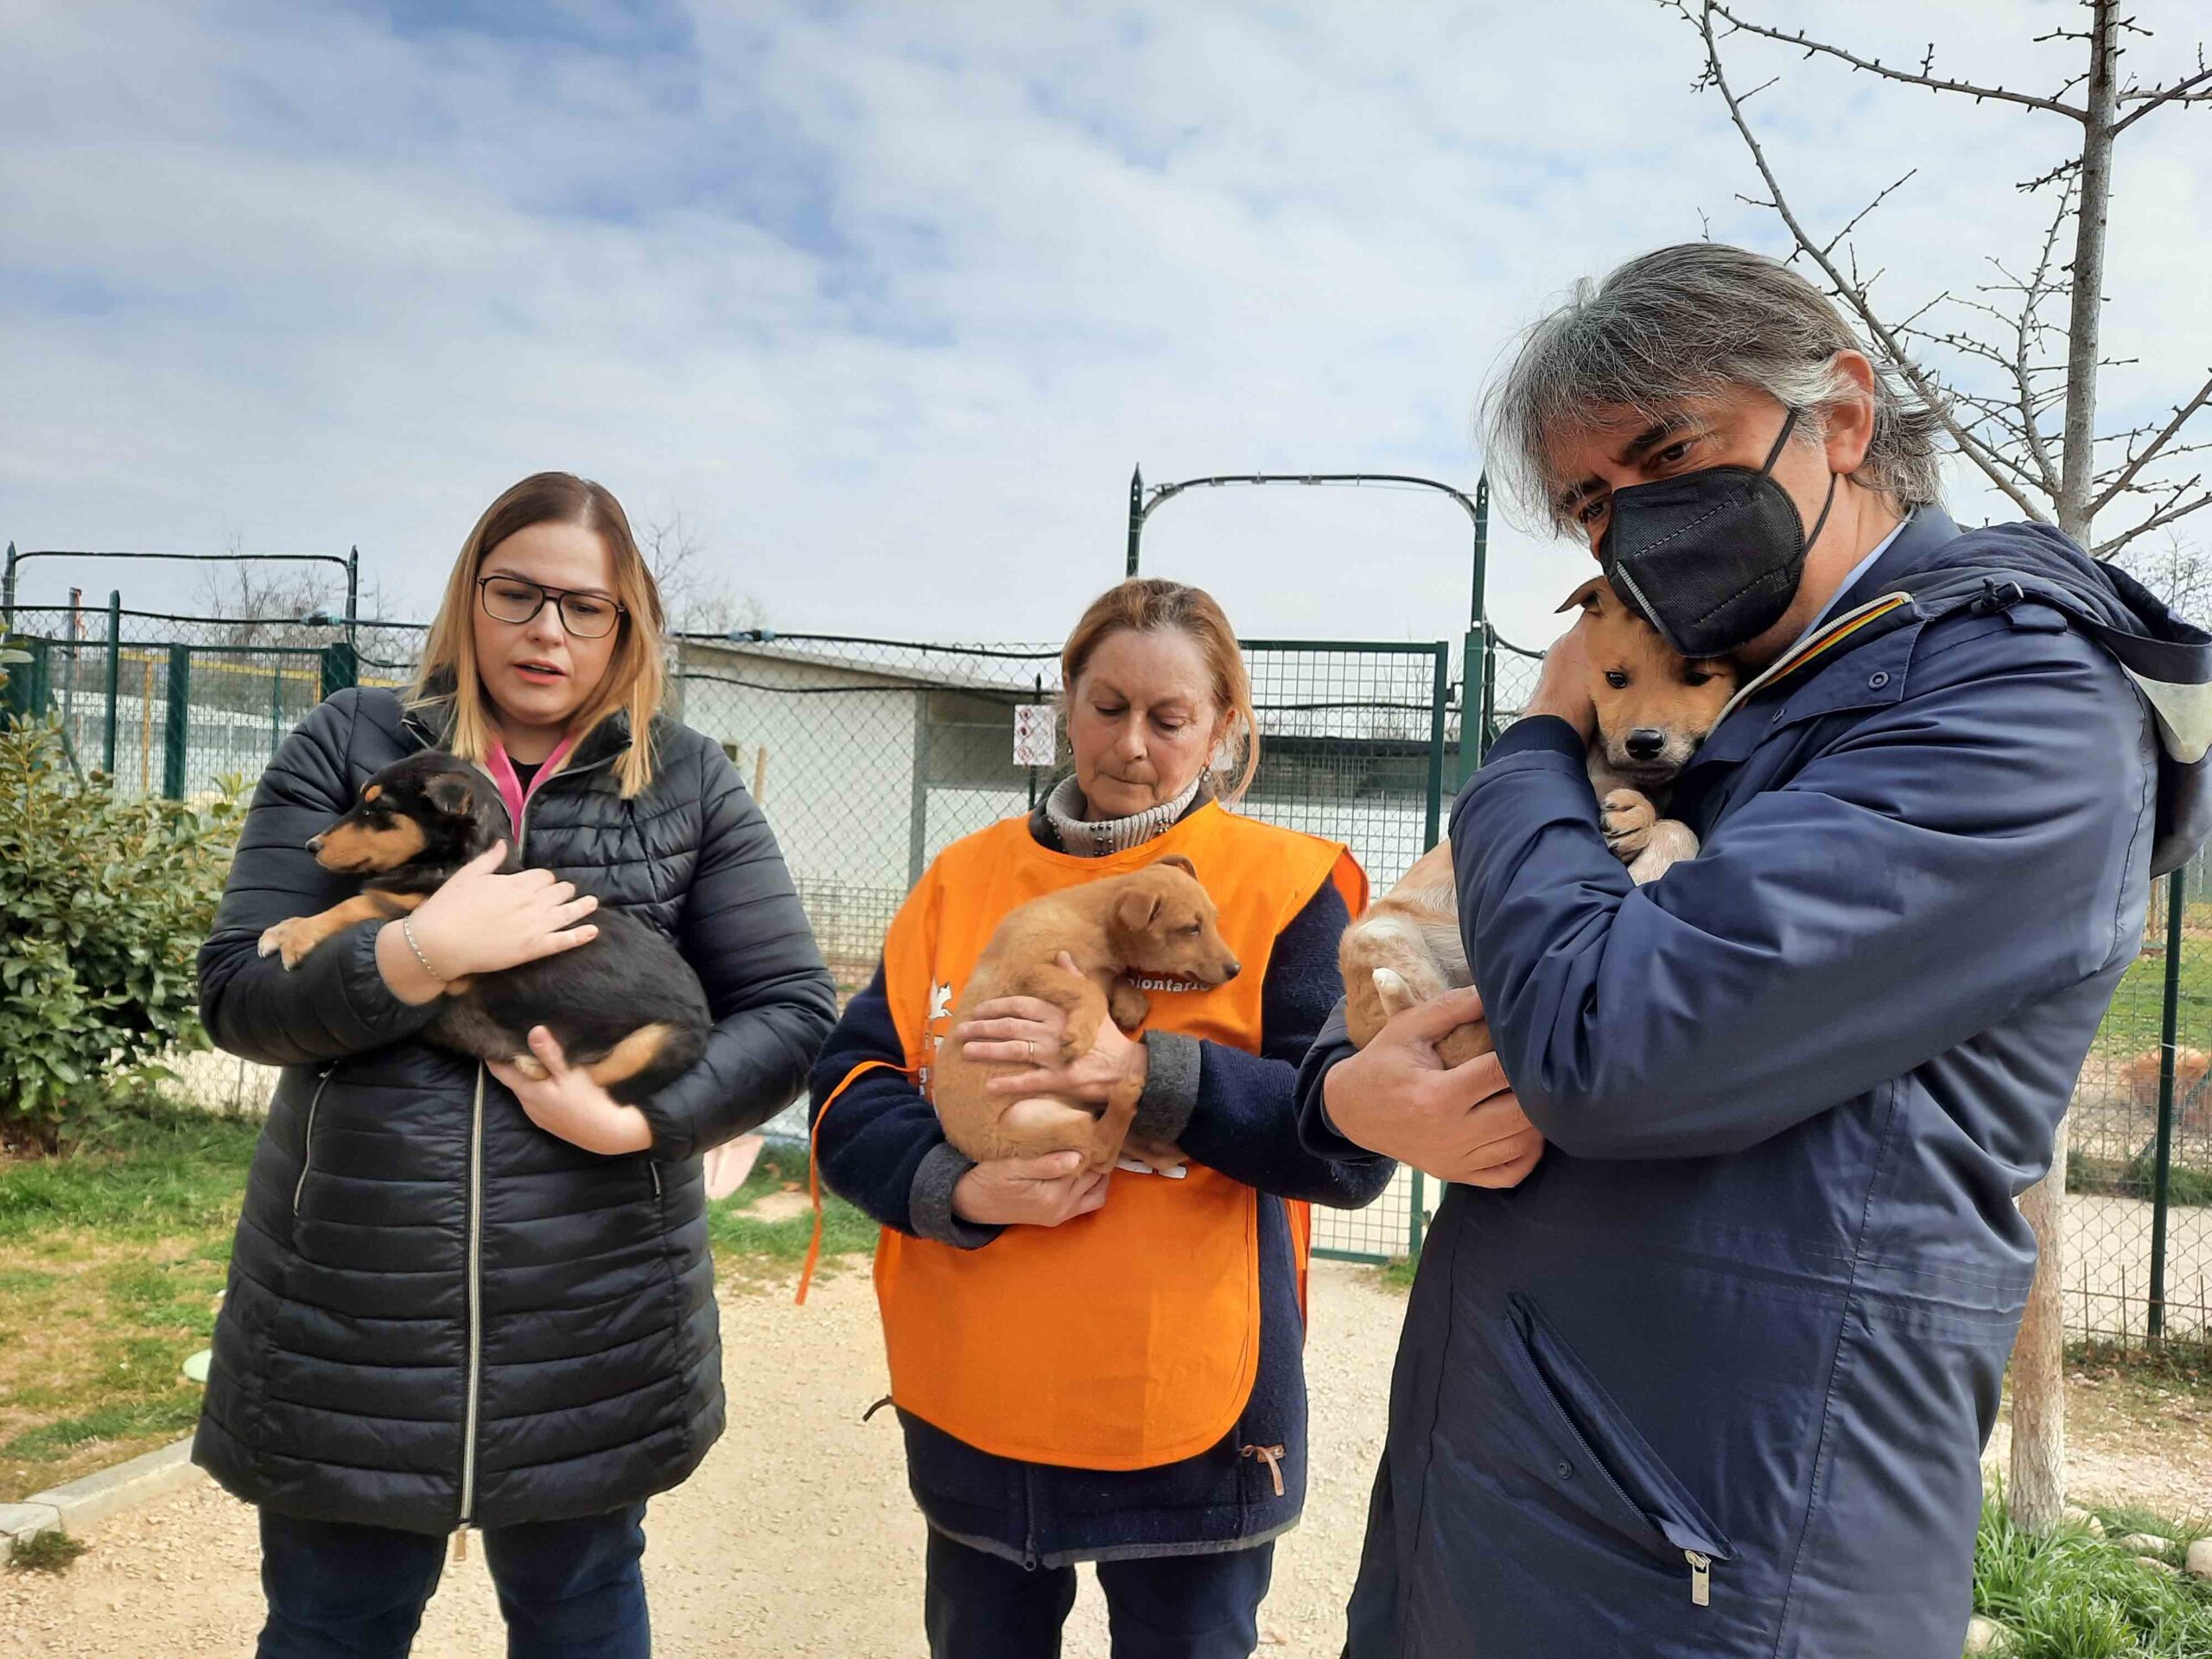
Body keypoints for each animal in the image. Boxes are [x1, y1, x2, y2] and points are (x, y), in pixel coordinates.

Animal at [257, 760, 708, 1110]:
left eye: (378, 808)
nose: (310, 845)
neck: (454, 861)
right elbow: (359, 902)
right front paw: (283, 929)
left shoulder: (429, 925)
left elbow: (357, 905)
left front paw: (296, 936)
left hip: (656, 1043)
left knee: (600, 1083)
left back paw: (537, 1062)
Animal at [929, 862, 1247, 1176]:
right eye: (1191, 928)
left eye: (1214, 921)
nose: (1236, 969)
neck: (1093, 920)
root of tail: (980, 1149)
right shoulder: (1030, 969)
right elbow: (1088, 989)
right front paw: (1079, 1037)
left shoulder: (1097, 969)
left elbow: (1111, 978)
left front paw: (1130, 1003)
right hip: (1036, 1123)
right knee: (1099, 1151)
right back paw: (1125, 1097)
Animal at [1327, 575, 1743, 1065]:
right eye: (1615, 679)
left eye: (1697, 678)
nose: (1643, 743)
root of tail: (1361, 1029)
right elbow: (1664, 819)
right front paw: (1636, 817)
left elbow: (1674, 821)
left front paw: (1638, 818)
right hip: (1385, 937)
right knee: (1456, 1035)